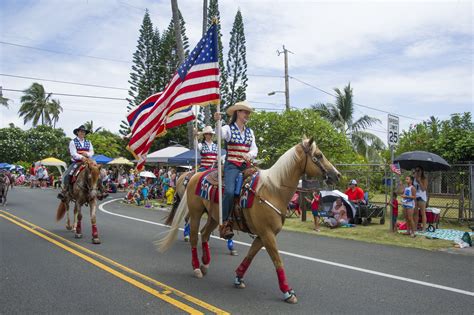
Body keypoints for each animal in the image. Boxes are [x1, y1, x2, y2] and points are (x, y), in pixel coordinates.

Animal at [159, 138, 340, 304]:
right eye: (319, 155)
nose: (336, 175)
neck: (273, 191)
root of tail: (194, 175)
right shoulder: (267, 235)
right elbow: (277, 261)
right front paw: (287, 292)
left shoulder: (263, 235)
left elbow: (250, 255)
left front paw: (238, 278)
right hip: (196, 213)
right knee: (194, 237)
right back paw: (196, 267)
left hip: (214, 217)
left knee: (204, 234)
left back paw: (205, 263)